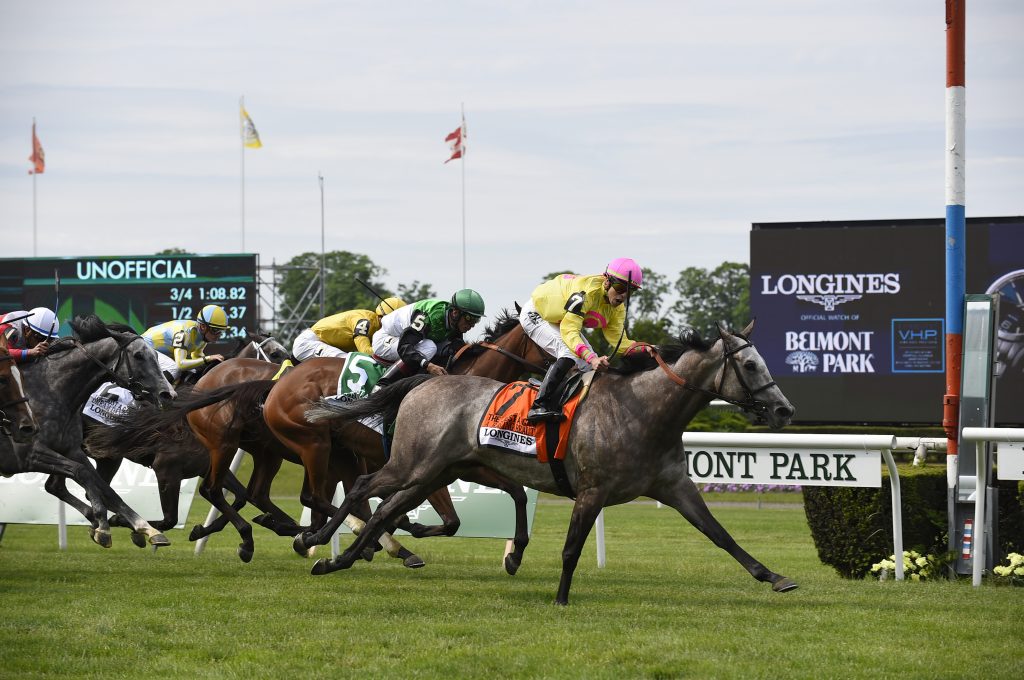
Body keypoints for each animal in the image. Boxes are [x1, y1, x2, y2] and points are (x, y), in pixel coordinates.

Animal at [0, 317, 175, 548]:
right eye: (138, 355)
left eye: (155, 355)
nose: (168, 394)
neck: (51, 392)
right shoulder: (28, 455)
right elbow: (83, 474)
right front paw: (103, 526)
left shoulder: (71, 450)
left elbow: (103, 487)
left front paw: (145, 528)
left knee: (55, 486)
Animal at [266, 311, 552, 569]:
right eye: (548, 339)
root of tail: (280, 384)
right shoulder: (430, 467)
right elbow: (450, 521)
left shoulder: (470, 467)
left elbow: (515, 494)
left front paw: (514, 556)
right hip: (315, 445)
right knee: (317, 497)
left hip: (341, 452)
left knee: (334, 499)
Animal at [299, 323, 794, 606]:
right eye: (751, 365)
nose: (784, 410)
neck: (643, 410)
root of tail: (424, 381)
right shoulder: (592, 492)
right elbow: (571, 549)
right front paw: (560, 598)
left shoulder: (674, 487)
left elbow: (720, 534)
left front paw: (773, 576)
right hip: (411, 463)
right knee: (363, 486)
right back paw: (316, 539)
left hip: (436, 471)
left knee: (385, 510)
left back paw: (338, 560)